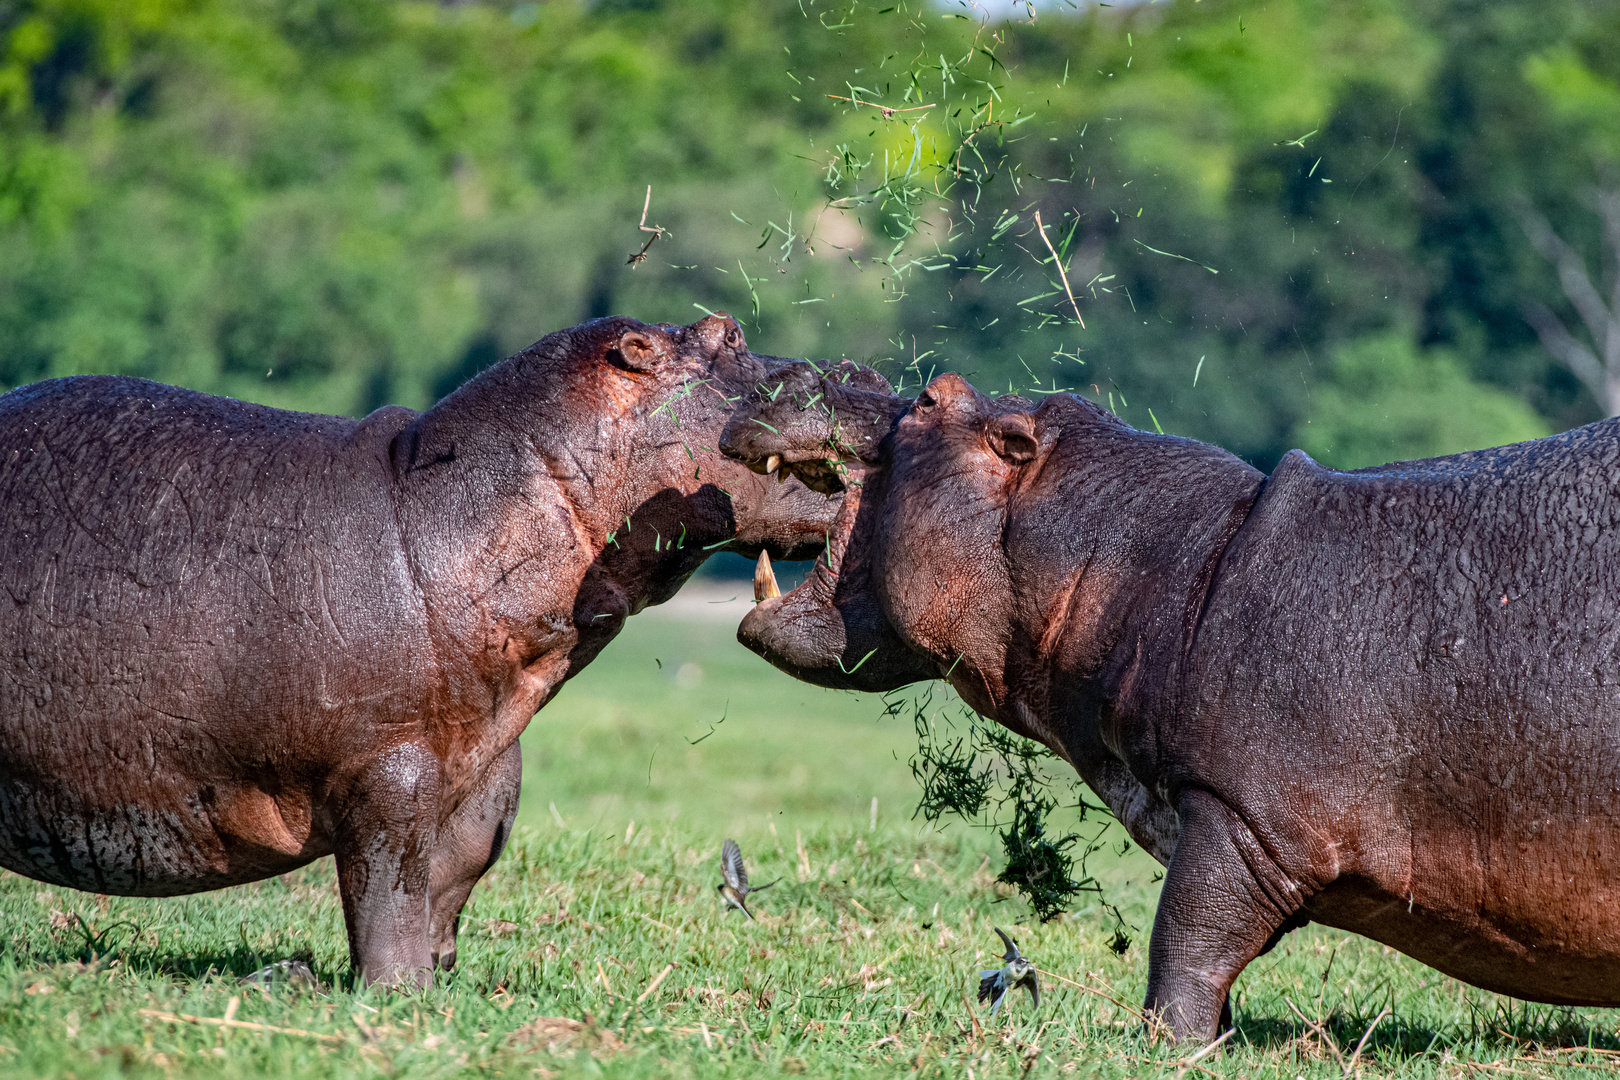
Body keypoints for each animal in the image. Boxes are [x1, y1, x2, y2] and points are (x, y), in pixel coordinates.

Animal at [0, 312, 835, 990]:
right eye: (728, 333)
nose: (845, 375)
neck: (444, 508)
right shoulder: (386, 768)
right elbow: (389, 888)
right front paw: (398, 995)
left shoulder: (481, 774)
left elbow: (448, 878)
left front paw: (436, 987)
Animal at [722, 367, 1620, 1042]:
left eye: (931, 397)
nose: (802, 373)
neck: (1173, 561)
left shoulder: (1246, 814)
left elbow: (1189, 934)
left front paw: (1169, 1042)